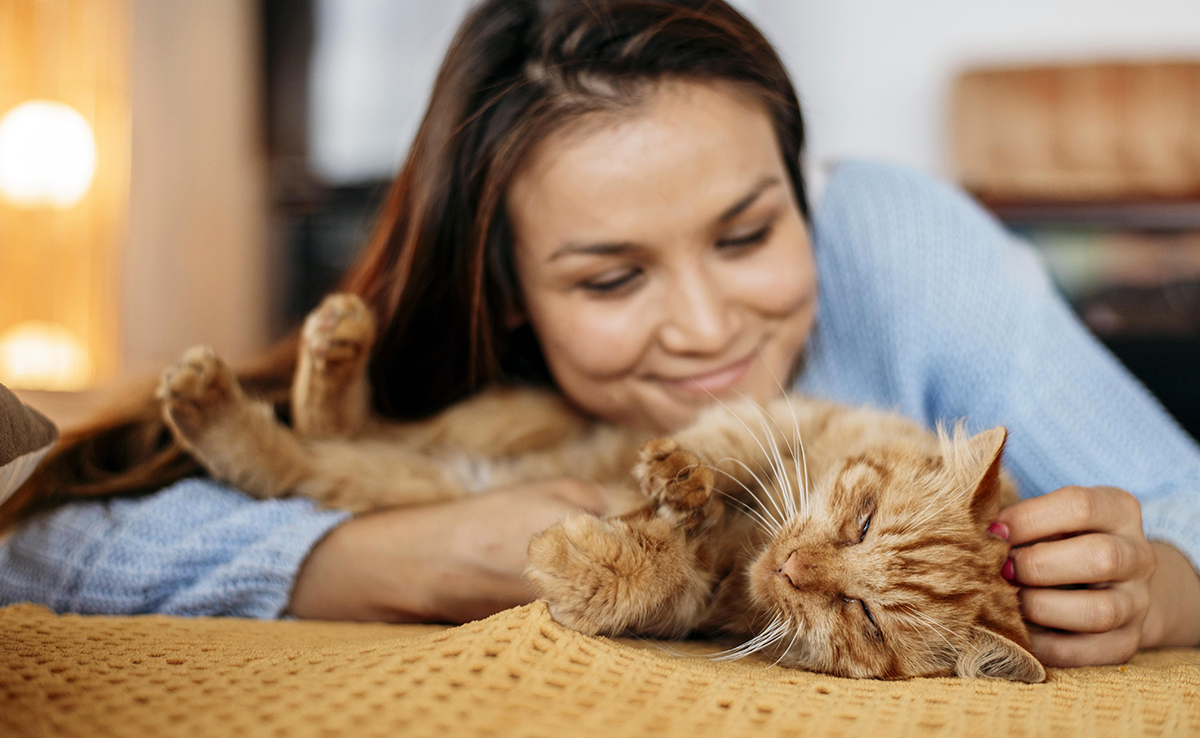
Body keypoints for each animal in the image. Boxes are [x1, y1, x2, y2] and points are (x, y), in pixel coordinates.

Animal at [157, 292, 1041, 681]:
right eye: (861, 519)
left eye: (864, 618)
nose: (794, 569)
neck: (750, 540)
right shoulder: (762, 413)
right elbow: (710, 454)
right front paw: (675, 479)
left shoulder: (702, 600)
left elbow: (651, 573)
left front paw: (587, 555)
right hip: (497, 418)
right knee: (336, 422)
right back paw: (327, 342)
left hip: (399, 475)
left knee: (296, 455)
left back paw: (219, 400)